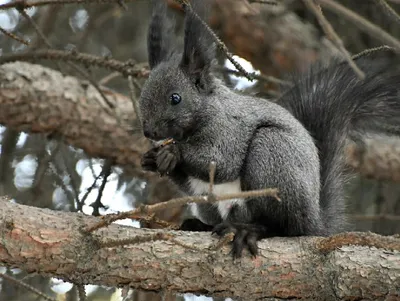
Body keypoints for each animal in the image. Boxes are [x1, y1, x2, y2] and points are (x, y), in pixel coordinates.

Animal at [138, 0, 400, 258]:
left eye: (175, 98)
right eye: (142, 96)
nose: (149, 132)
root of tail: (315, 222)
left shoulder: (230, 129)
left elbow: (222, 162)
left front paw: (174, 153)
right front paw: (150, 159)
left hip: (272, 156)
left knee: (283, 227)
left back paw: (250, 230)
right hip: (209, 203)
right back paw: (200, 225)